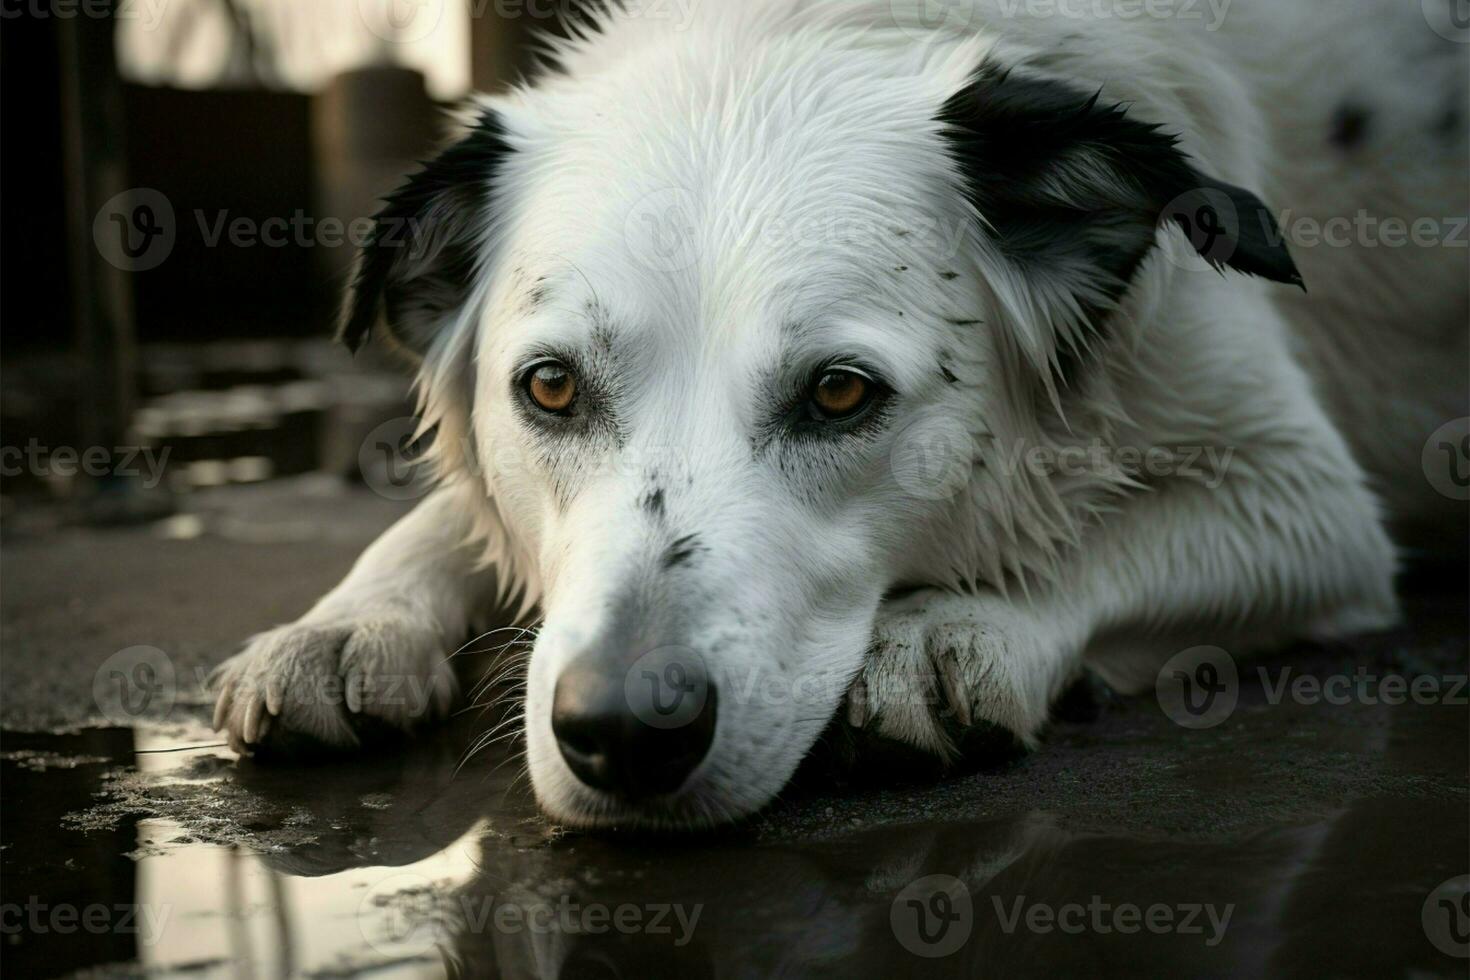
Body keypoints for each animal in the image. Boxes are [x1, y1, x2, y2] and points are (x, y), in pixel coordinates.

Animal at [210, 0, 1470, 828]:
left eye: (840, 392)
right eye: (550, 386)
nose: (625, 727)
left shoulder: (1311, 498)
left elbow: (1101, 537)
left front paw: (953, 629)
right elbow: (442, 514)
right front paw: (351, 621)